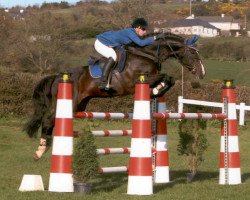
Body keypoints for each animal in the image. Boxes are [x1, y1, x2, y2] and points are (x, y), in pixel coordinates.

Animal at [23, 33, 205, 161]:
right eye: (192, 52)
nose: (202, 73)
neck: (148, 55)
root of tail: (57, 76)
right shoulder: (136, 81)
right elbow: (165, 76)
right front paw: (156, 90)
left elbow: (170, 79)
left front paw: (156, 91)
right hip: (67, 103)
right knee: (48, 121)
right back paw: (40, 151)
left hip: (78, 106)